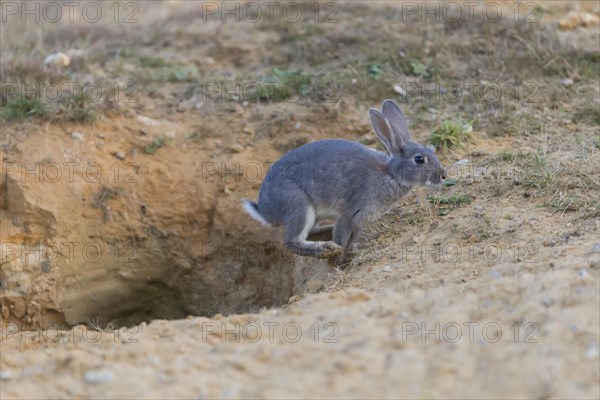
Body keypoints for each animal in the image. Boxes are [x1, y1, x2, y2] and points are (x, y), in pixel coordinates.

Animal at [243, 99, 446, 262]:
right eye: (419, 159)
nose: (443, 175)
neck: (390, 174)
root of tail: (266, 210)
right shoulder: (350, 213)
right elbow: (342, 236)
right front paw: (339, 260)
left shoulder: (359, 221)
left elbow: (353, 239)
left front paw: (352, 252)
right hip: (298, 205)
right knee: (292, 242)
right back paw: (327, 249)